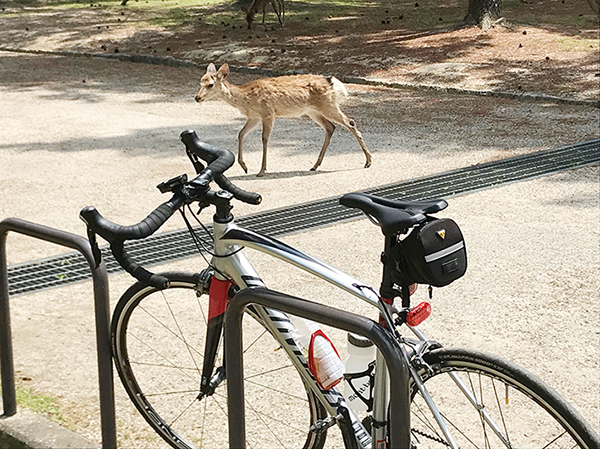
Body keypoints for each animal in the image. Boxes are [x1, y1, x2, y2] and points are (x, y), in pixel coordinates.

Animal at [195, 64, 372, 176]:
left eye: (210, 84)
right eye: (200, 81)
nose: (197, 97)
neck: (245, 98)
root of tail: (332, 82)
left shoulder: (268, 112)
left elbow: (264, 139)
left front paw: (262, 170)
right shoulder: (254, 117)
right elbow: (240, 134)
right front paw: (244, 167)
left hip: (328, 105)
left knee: (350, 122)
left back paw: (368, 161)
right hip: (313, 110)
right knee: (330, 127)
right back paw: (315, 165)